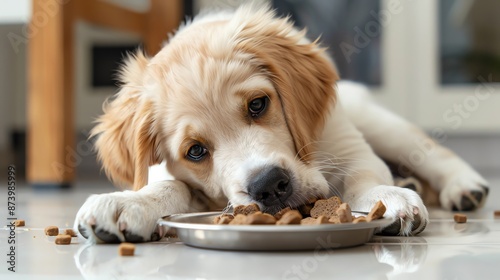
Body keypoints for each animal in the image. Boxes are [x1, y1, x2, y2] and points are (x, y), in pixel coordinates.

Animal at [74, 4, 488, 243]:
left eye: (258, 104)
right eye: (195, 151)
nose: (269, 186)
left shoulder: (347, 143)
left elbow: (363, 176)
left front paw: (386, 197)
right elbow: (168, 186)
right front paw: (131, 203)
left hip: (378, 122)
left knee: (430, 151)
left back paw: (463, 186)